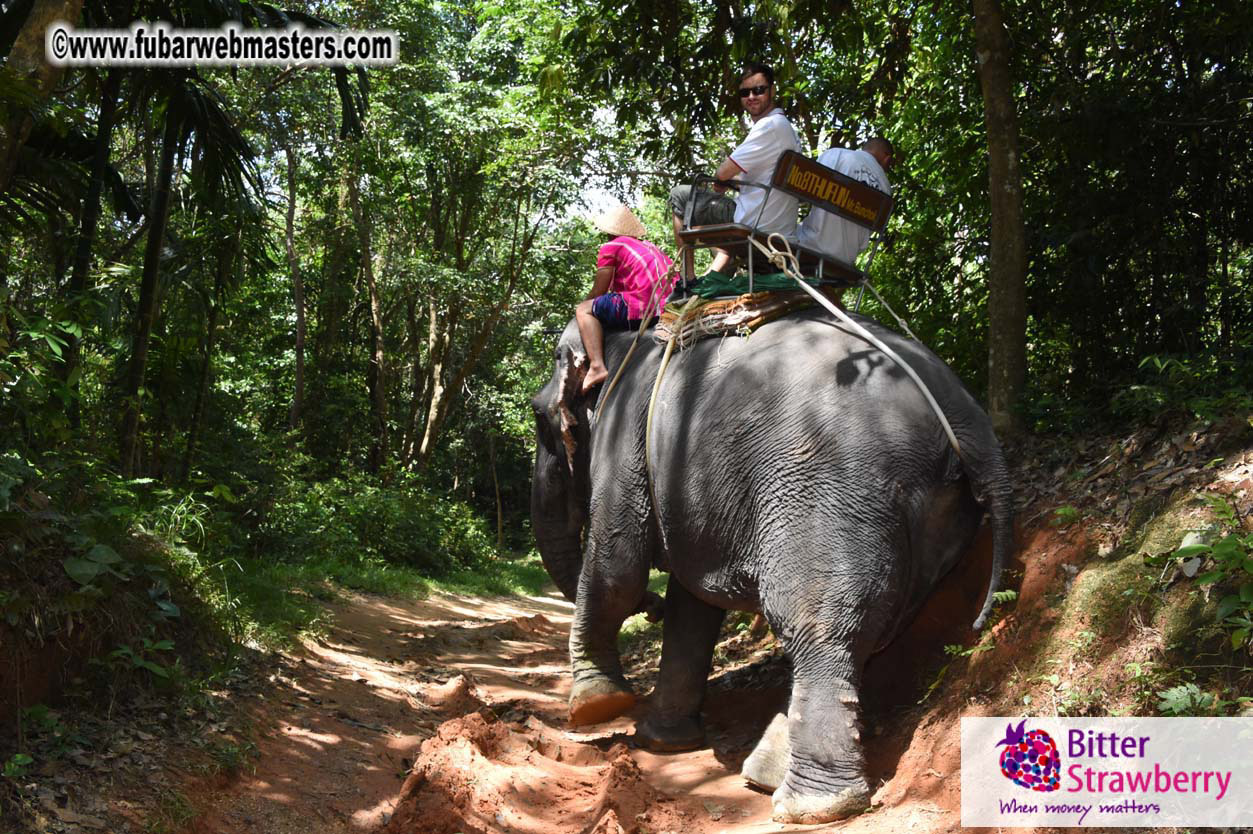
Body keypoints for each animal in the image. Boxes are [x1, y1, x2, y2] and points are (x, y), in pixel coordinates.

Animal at [526, 304, 1007, 816]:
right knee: (870, 634)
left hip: (831, 503)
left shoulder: (622, 440)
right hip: (935, 518)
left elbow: (620, 568)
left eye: (537, 417)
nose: (650, 610)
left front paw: (595, 706)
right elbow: (691, 603)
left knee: (817, 629)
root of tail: (966, 417)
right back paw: (768, 773)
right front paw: (664, 742)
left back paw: (810, 805)